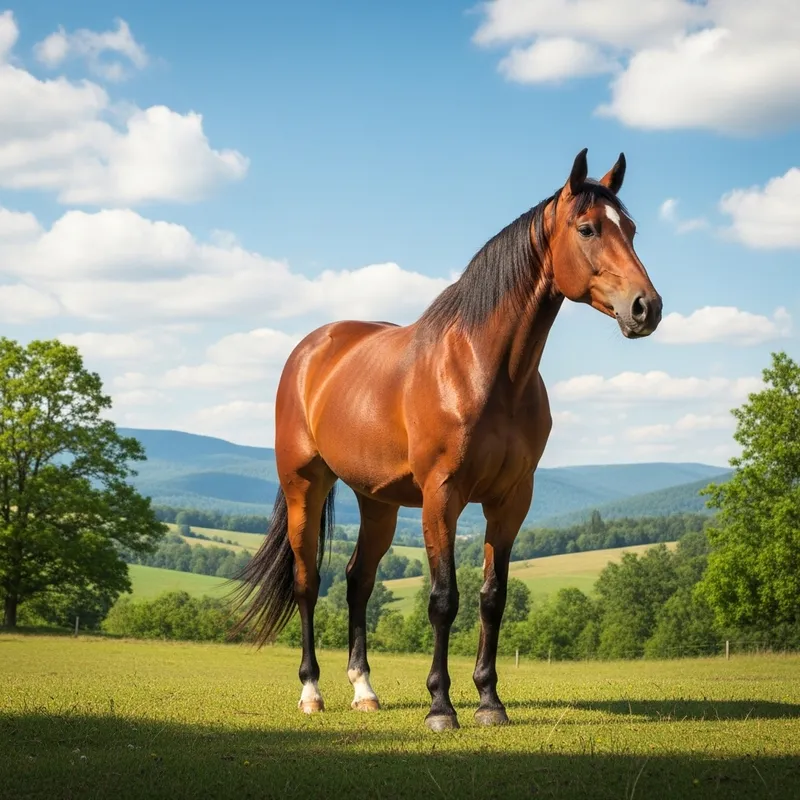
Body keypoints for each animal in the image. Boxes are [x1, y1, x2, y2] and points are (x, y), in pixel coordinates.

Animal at [230, 148, 663, 731]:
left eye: (632, 230)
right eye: (588, 228)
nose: (646, 307)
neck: (485, 370)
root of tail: (312, 349)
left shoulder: (510, 501)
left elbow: (492, 597)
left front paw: (489, 701)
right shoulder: (442, 496)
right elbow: (443, 599)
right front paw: (441, 705)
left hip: (378, 502)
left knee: (357, 580)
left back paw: (364, 690)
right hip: (306, 486)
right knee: (307, 581)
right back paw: (312, 692)